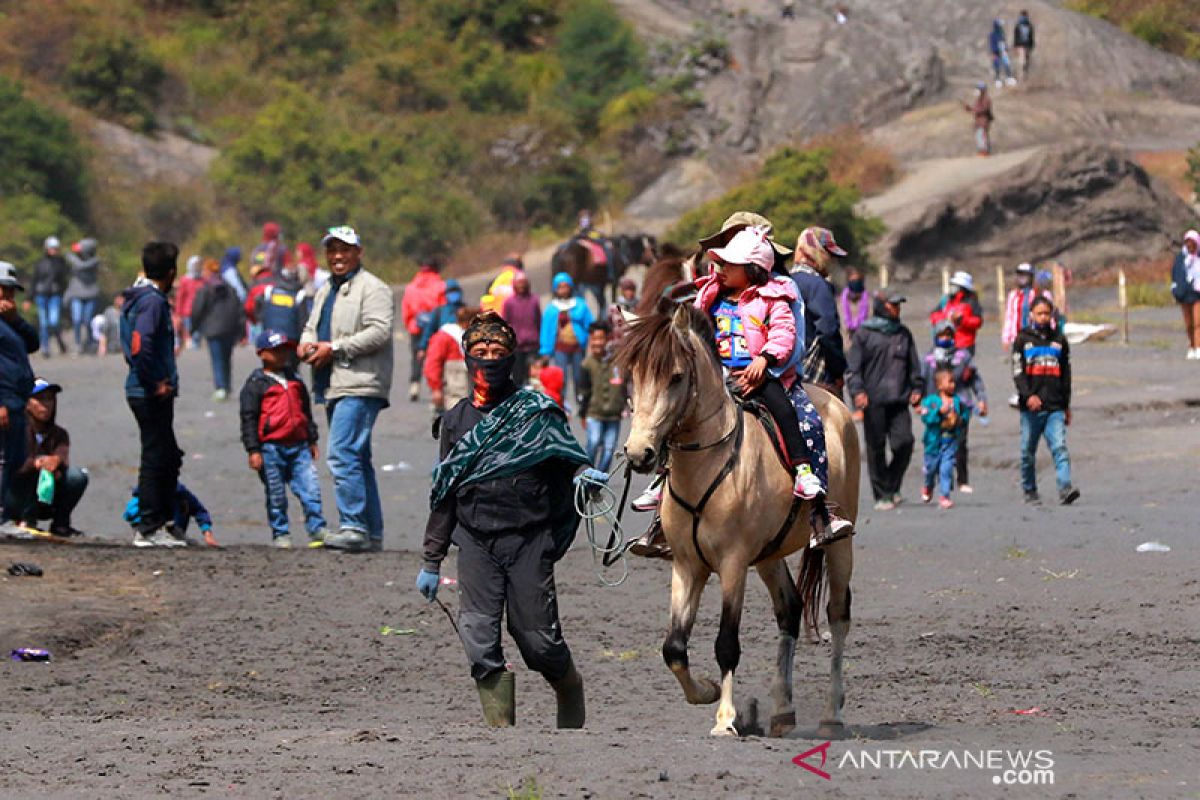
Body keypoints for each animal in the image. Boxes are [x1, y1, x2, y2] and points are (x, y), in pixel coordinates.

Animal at [614, 302, 859, 738]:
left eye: (676, 376)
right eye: (633, 376)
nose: (639, 453)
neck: (709, 464)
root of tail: (836, 406)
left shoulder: (732, 564)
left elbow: (726, 642)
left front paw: (725, 718)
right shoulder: (687, 566)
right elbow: (674, 647)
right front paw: (706, 692)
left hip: (840, 544)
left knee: (837, 615)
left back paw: (832, 714)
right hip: (768, 556)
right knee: (789, 609)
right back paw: (782, 712)